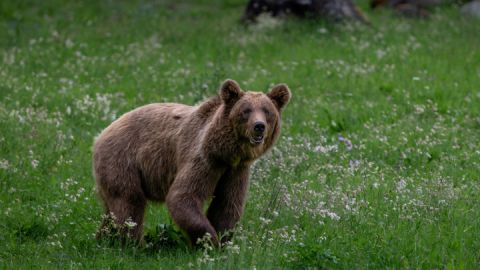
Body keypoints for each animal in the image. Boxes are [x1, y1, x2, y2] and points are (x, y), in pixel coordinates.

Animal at [92, 79, 290, 246]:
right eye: (246, 111)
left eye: (267, 111)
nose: (259, 126)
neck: (226, 152)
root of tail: (100, 134)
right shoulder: (203, 160)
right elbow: (183, 196)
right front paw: (211, 241)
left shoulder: (235, 170)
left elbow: (227, 204)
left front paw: (223, 240)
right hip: (122, 159)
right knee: (129, 202)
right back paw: (133, 244)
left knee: (111, 207)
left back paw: (104, 239)